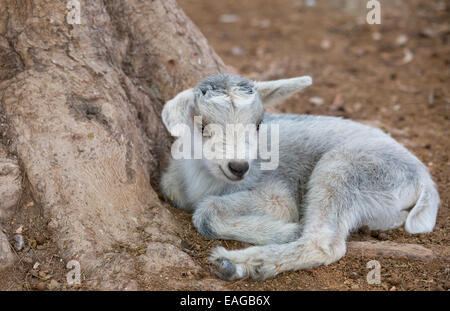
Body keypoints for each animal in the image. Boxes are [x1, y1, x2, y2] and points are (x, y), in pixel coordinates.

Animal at [159, 73, 440, 282]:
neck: (205, 179)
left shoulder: (276, 194)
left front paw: (287, 230)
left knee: (324, 244)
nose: (239, 167)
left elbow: (208, 211)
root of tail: (423, 176)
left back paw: (239, 263)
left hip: (347, 170)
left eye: (259, 124)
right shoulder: (171, 184)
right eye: (202, 125)